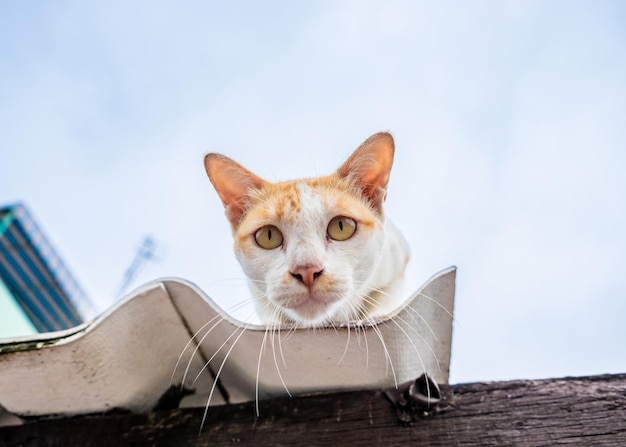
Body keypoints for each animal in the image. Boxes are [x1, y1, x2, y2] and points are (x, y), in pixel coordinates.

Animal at [204, 131, 410, 328]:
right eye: (268, 236)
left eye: (341, 227)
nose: (307, 270)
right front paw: (274, 322)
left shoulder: (399, 256)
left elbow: (383, 296)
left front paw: (371, 316)